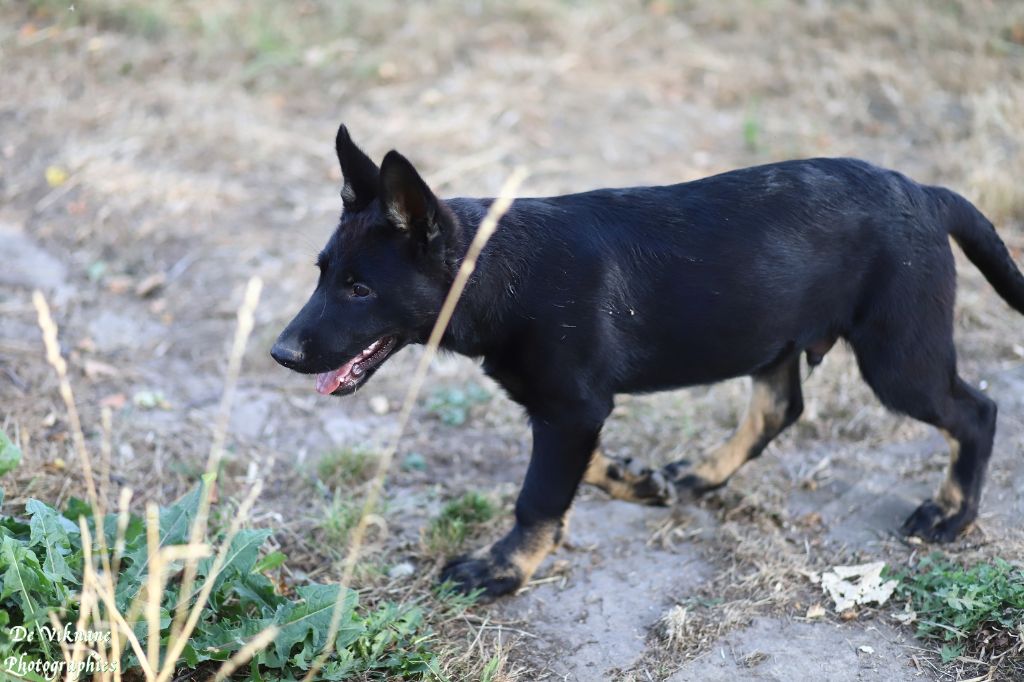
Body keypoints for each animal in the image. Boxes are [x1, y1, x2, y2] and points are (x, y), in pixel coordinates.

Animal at [272, 124, 1024, 599]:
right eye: (322, 274)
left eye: (360, 289)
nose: (280, 353)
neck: (492, 268)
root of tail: (926, 193)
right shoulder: (566, 409)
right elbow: (579, 472)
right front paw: (637, 481)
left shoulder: (572, 408)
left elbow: (537, 496)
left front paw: (502, 571)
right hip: (772, 331)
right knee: (779, 408)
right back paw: (700, 475)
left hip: (899, 357)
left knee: (976, 412)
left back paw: (952, 514)